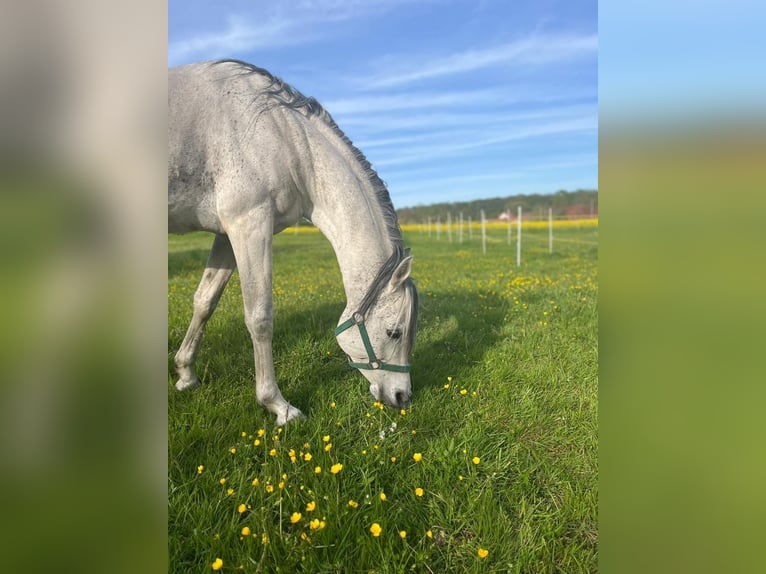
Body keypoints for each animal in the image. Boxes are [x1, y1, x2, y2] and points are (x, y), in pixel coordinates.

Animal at [168, 60, 418, 425]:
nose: (402, 397)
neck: (284, 136)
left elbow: (204, 301)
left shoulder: (227, 235)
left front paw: (186, 375)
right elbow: (259, 317)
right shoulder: (250, 224)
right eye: (394, 333)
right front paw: (278, 405)